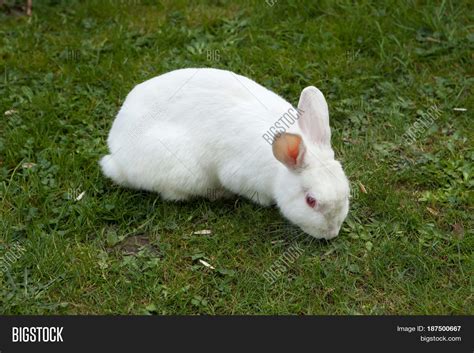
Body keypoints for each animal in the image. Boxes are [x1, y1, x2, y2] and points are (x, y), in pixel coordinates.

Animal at [100, 68, 350, 239]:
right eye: (311, 201)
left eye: (347, 193)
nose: (332, 233)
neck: (278, 172)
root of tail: (115, 152)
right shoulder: (237, 175)